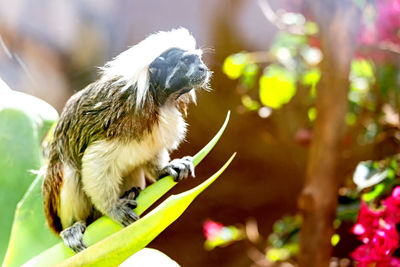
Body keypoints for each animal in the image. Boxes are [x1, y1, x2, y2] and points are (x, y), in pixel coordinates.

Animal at [41, 28, 211, 253]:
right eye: (187, 60)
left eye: (199, 59)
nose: (203, 68)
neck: (157, 98)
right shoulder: (121, 120)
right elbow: (95, 161)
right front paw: (113, 207)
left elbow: (153, 151)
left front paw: (165, 168)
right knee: (68, 169)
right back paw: (74, 227)